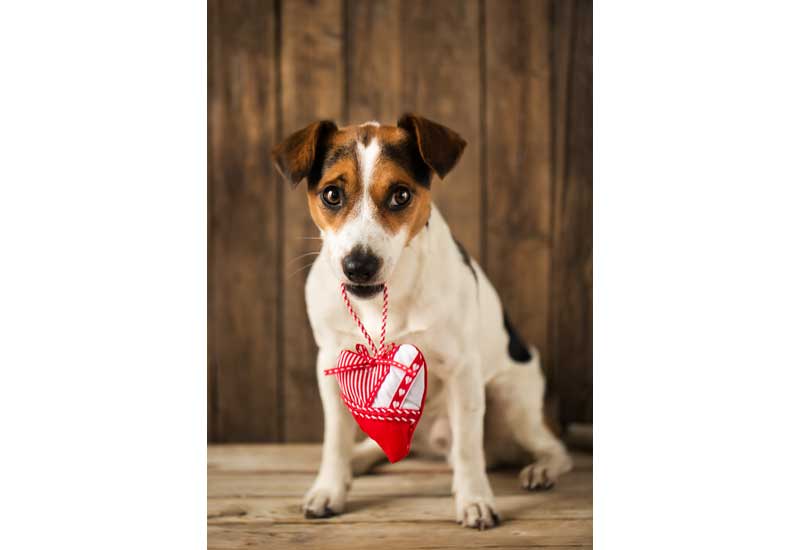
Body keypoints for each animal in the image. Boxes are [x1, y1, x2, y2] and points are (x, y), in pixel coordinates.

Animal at [272, 115, 572, 532]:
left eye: (400, 195)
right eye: (332, 194)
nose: (359, 266)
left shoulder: (463, 371)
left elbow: (468, 448)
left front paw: (475, 499)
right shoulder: (331, 365)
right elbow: (335, 438)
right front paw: (330, 487)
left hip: (511, 400)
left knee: (553, 449)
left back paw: (541, 469)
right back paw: (359, 459)